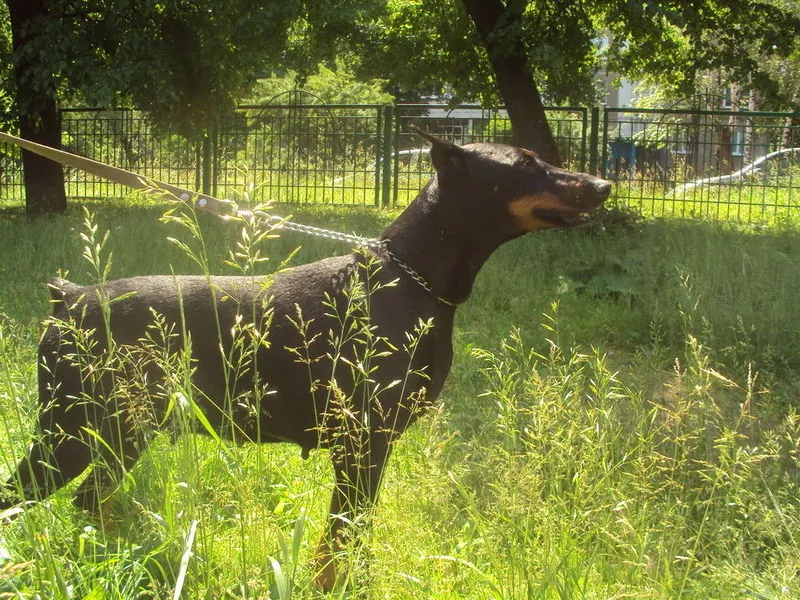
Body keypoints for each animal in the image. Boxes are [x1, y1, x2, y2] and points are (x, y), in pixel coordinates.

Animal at [1, 132, 612, 592]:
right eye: (526, 164)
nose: (605, 185)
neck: (410, 277)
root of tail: (69, 297)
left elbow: (346, 535)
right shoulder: (362, 441)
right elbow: (344, 534)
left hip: (119, 428)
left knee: (90, 498)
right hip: (75, 428)